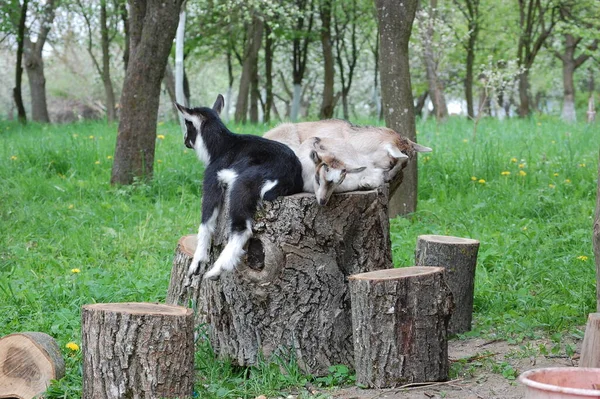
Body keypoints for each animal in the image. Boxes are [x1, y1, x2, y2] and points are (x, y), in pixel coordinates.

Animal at [176, 95, 302, 280]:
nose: (185, 141)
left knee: (243, 228)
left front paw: (197, 263)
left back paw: (217, 269)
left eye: (188, 125)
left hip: (243, 184)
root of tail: (289, 175)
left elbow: (206, 222)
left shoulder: (212, 179)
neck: (222, 147)